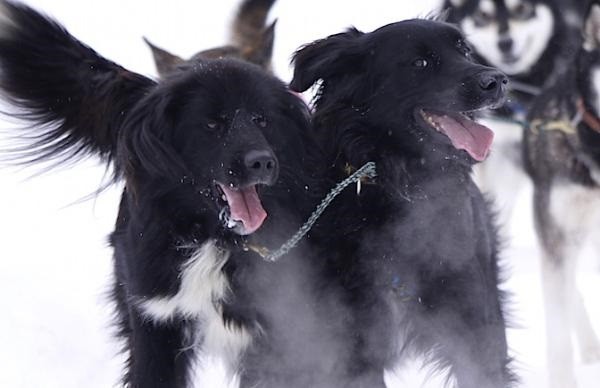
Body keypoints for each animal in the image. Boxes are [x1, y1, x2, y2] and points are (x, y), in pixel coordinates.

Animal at [290, 16, 516, 386]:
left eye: (464, 51)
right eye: (420, 63)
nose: (497, 80)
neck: (403, 189)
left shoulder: (474, 332)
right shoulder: (354, 345)